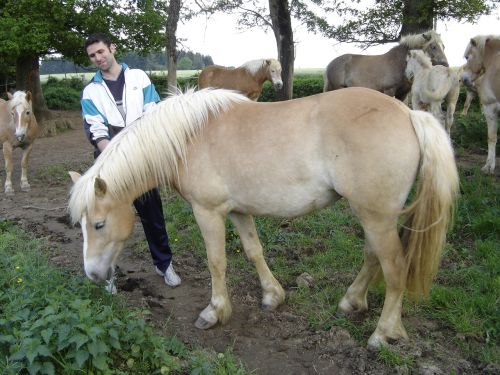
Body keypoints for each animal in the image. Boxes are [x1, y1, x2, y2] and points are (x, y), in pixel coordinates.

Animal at [68, 86, 458, 352]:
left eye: (99, 224)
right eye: (83, 226)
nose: (93, 275)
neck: (188, 137)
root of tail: (409, 114)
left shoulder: (208, 211)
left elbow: (217, 261)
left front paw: (215, 312)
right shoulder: (239, 210)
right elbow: (254, 251)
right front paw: (273, 296)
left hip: (375, 216)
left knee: (394, 269)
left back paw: (382, 333)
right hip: (373, 217)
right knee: (373, 257)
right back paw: (351, 302)